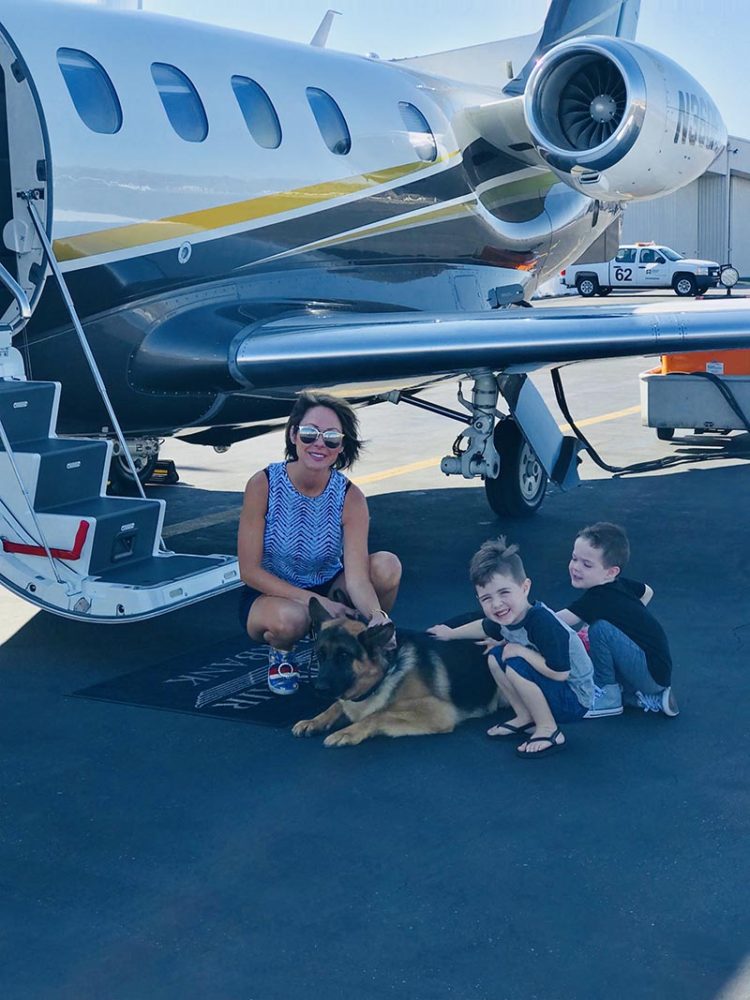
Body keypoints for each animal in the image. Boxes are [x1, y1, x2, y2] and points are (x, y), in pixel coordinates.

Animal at [290, 596, 508, 748]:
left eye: (344, 656)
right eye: (320, 655)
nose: (319, 688)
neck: (386, 670)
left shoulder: (438, 712)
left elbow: (378, 714)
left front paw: (348, 732)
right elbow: (336, 705)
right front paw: (314, 720)